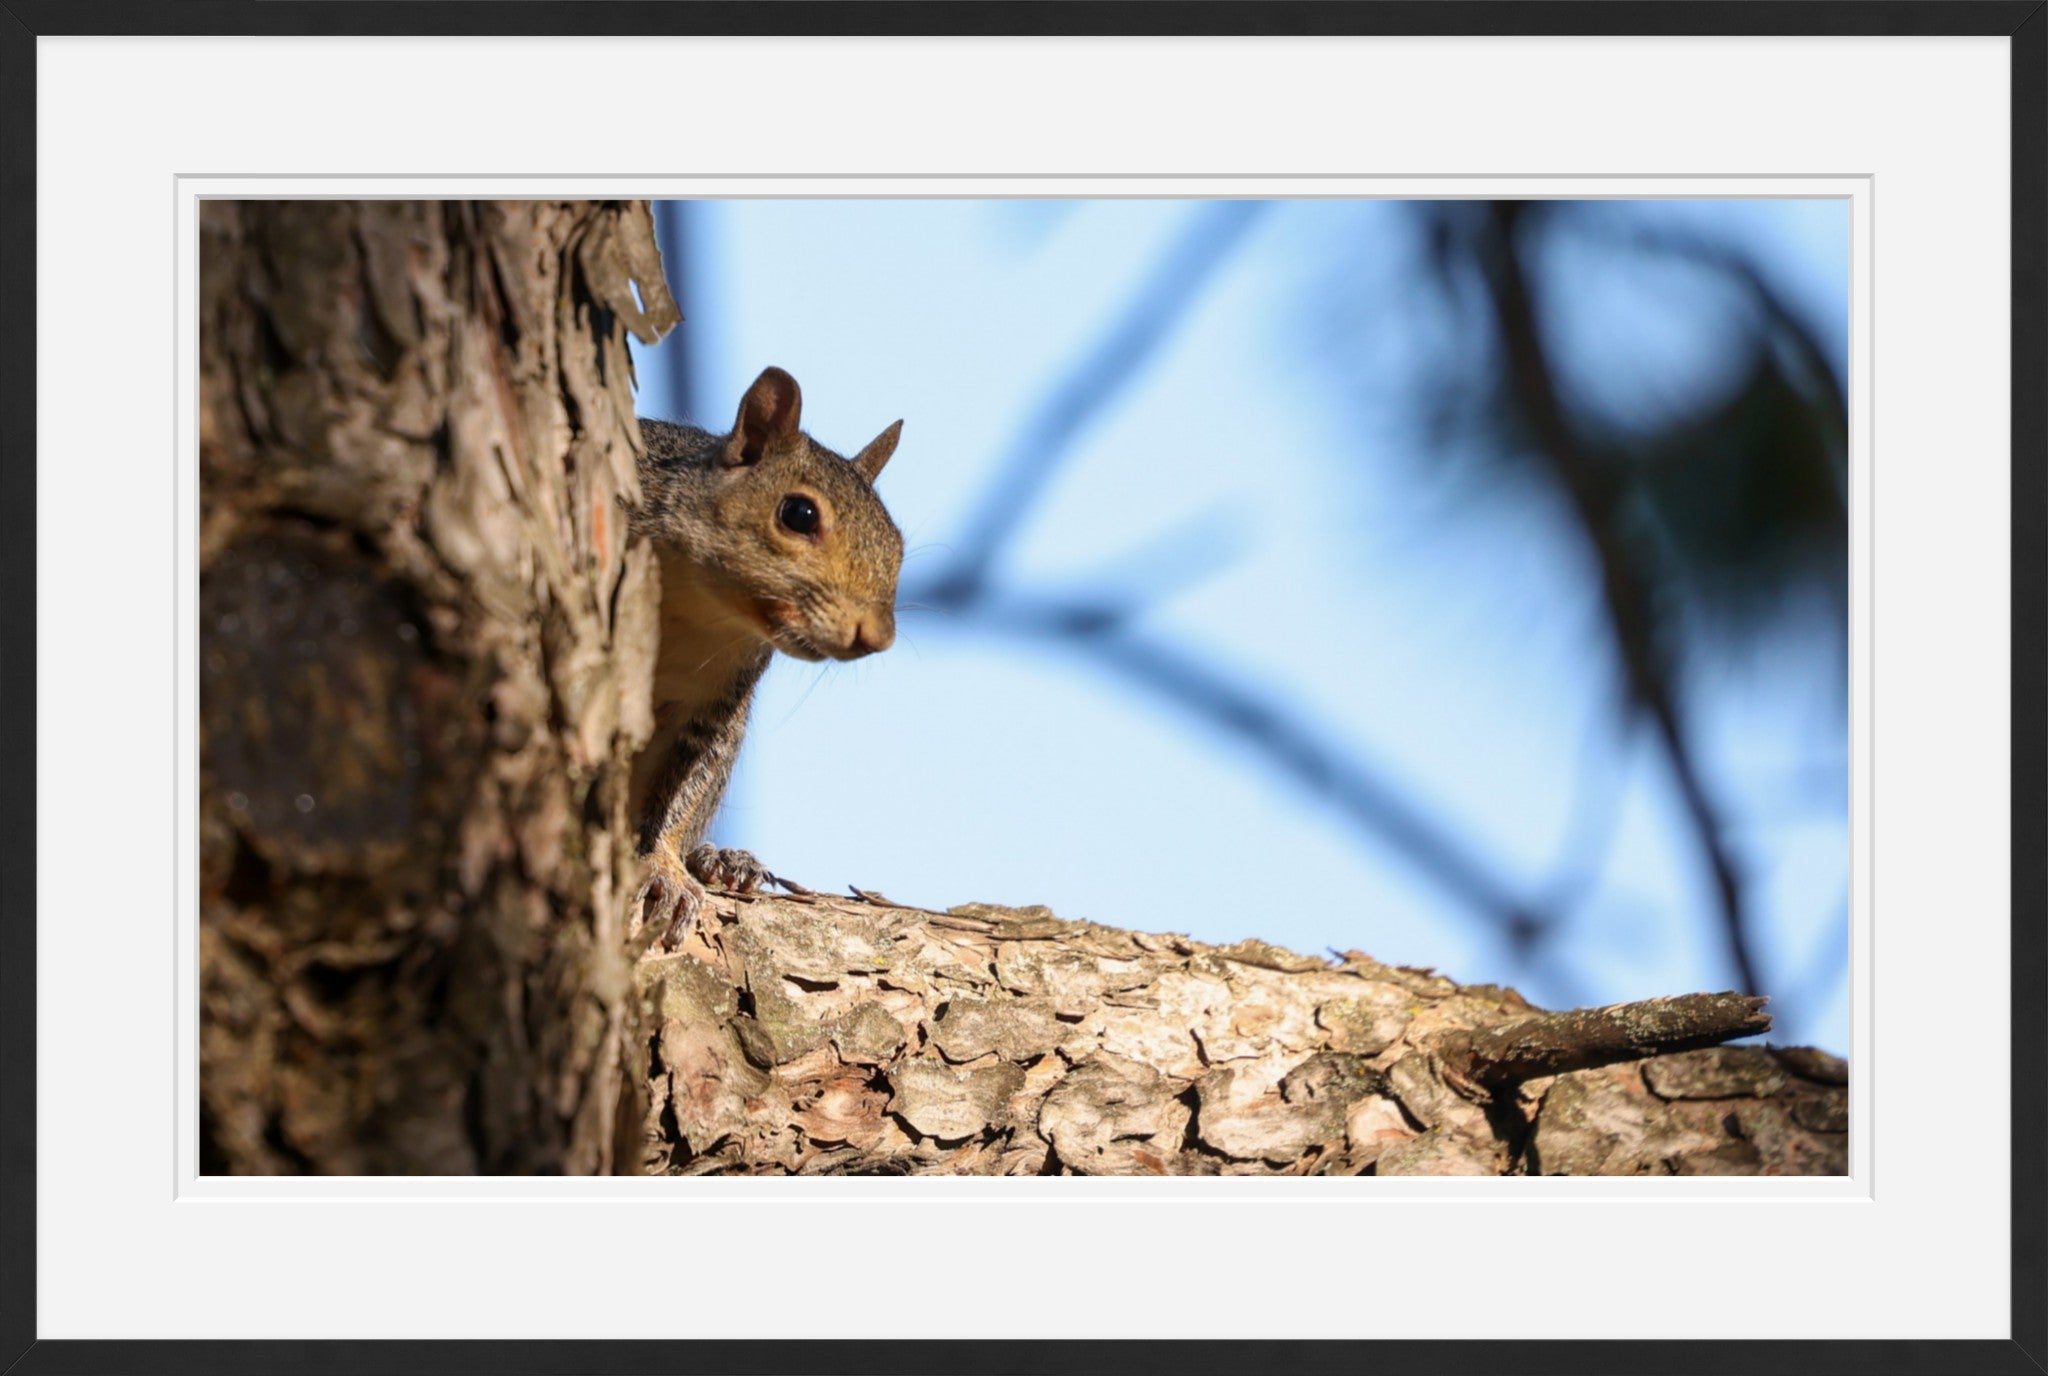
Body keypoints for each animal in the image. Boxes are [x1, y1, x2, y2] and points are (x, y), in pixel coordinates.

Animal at [627, 366, 905, 950]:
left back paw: (720, 860)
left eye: (897, 542)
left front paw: (664, 866)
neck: (700, 602)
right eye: (798, 513)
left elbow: (682, 790)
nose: (878, 636)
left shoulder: (716, 701)